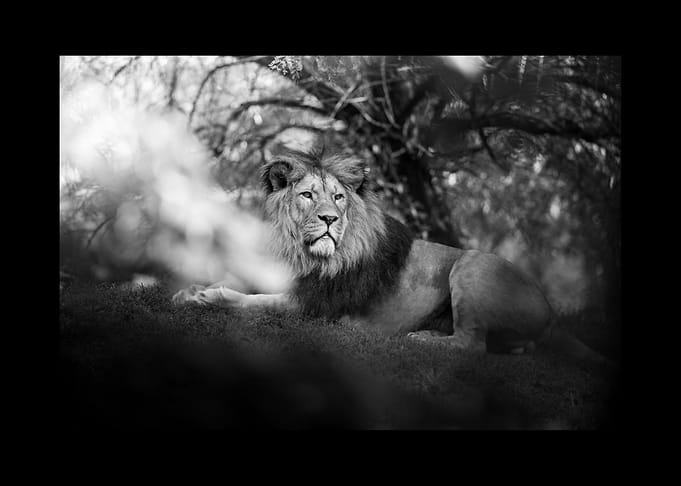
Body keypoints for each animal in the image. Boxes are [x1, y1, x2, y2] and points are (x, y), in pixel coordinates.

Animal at [172, 145, 611, 368]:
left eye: (338, 197)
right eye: (307, 195)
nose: (330, 219)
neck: (300, 252)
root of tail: (552, 312)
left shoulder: (312, 306)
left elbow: (254, 302)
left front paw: (208, 297)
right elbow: (238, 284)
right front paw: (189, 290)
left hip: (474, 263)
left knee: (472, 345)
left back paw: (423, 340)